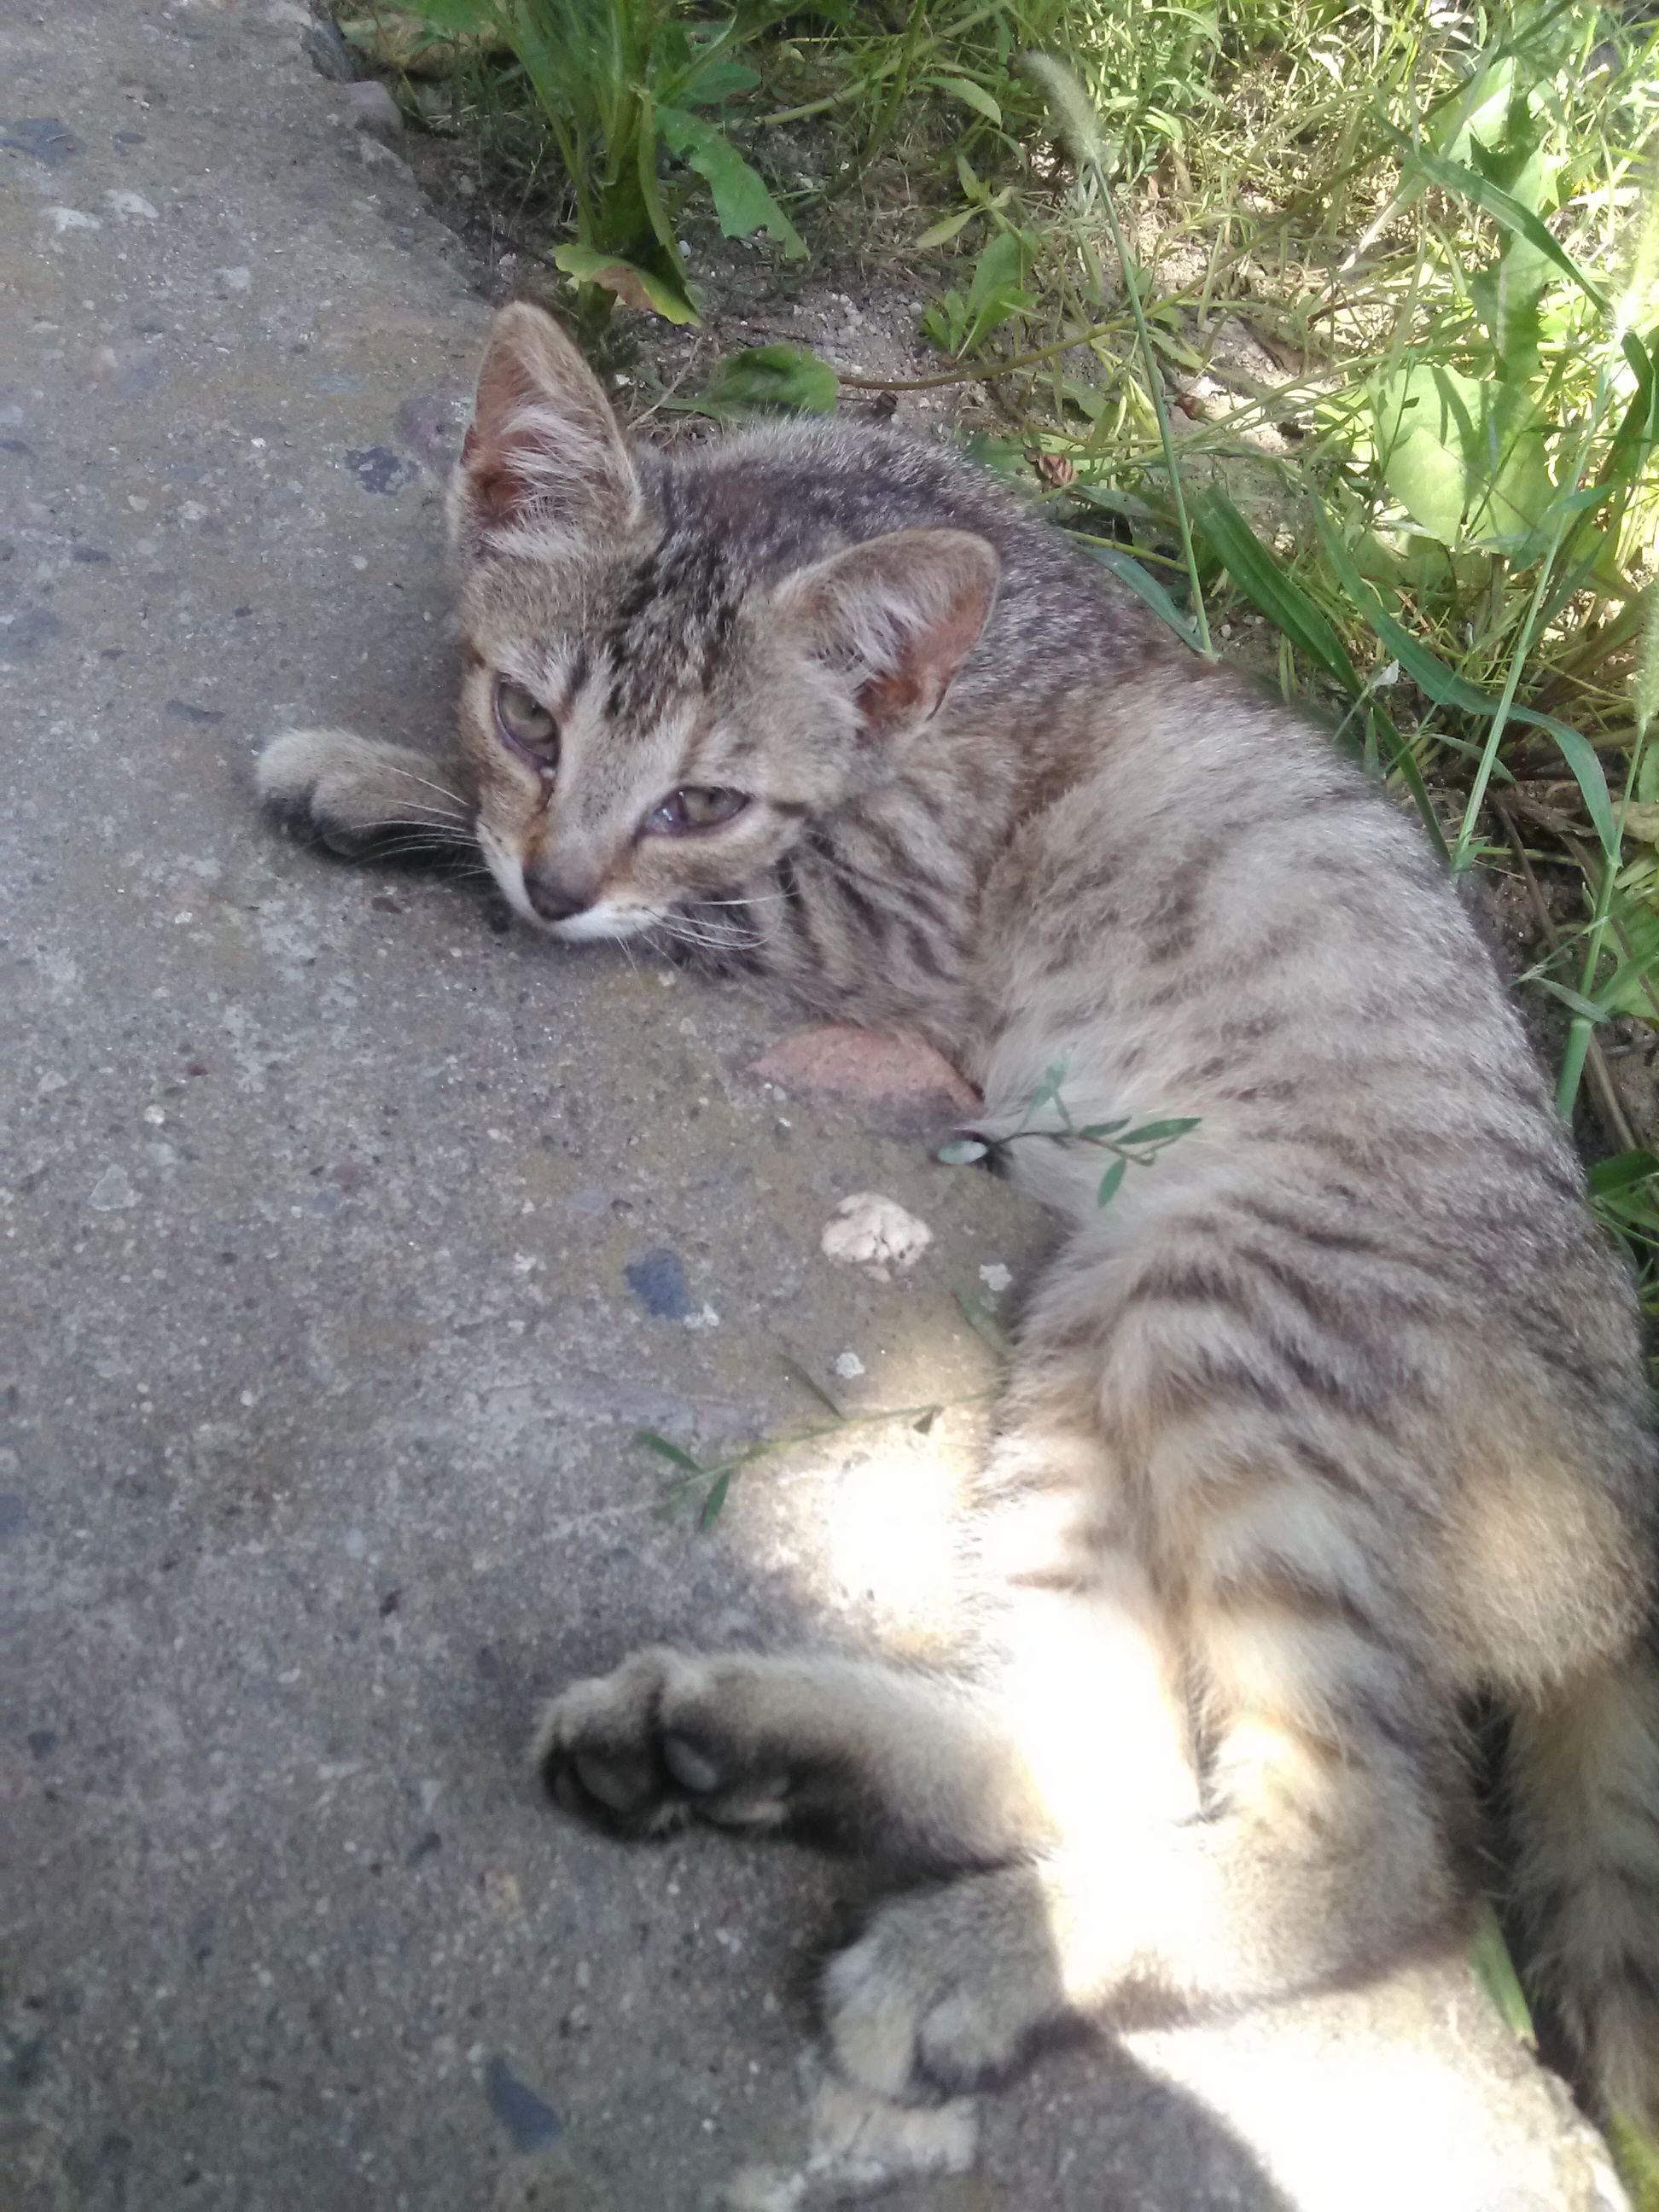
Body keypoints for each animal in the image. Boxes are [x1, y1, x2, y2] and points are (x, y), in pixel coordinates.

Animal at [259, 300, 1659, 2131]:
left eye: (699, 804)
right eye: (530, 716)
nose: (555, 881)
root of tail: (1630, 1513)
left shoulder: (879, 916)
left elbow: (697, 907)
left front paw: (379, 776)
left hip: (1234, 1310)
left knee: (1371, 1839)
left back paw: (966, 1958)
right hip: (1092, 1346)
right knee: (1101, 1749)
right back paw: (739, 1744)